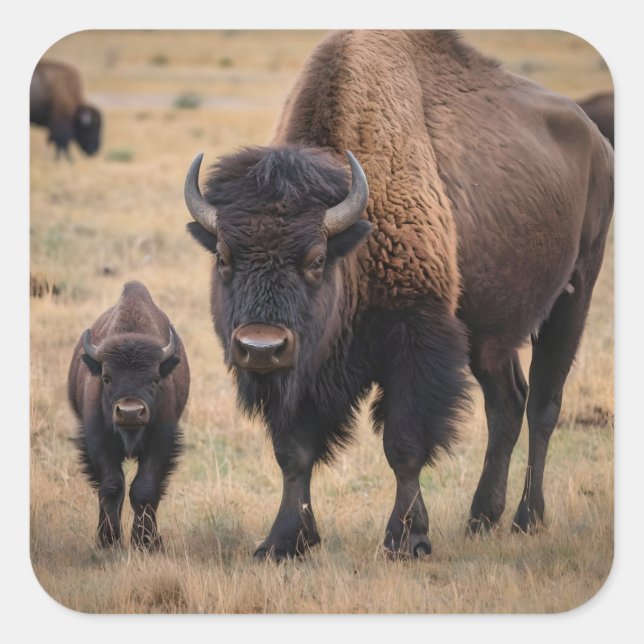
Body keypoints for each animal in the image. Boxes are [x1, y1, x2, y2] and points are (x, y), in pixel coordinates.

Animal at [68, 281, 190, 549]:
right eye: (106, 378)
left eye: (155, 378)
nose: (130, 412)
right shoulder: (98, 441)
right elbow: (112, 486)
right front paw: (110, 541)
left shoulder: (161, 442)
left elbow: (144, 489)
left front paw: (144, 543)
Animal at [184, 30, 613, 560]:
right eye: (224, 256)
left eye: (316, 259)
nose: (261, 346)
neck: (356, 238)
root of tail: (597, 142)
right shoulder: (302, 374)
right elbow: (294, 454)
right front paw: (284, 541)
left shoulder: (416, 339)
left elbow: (403, 446)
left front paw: (406, 539)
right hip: (488, 334)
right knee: (507, 403)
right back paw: (480, 519)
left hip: (576, 292)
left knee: (543, 406)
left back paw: (526, 519)